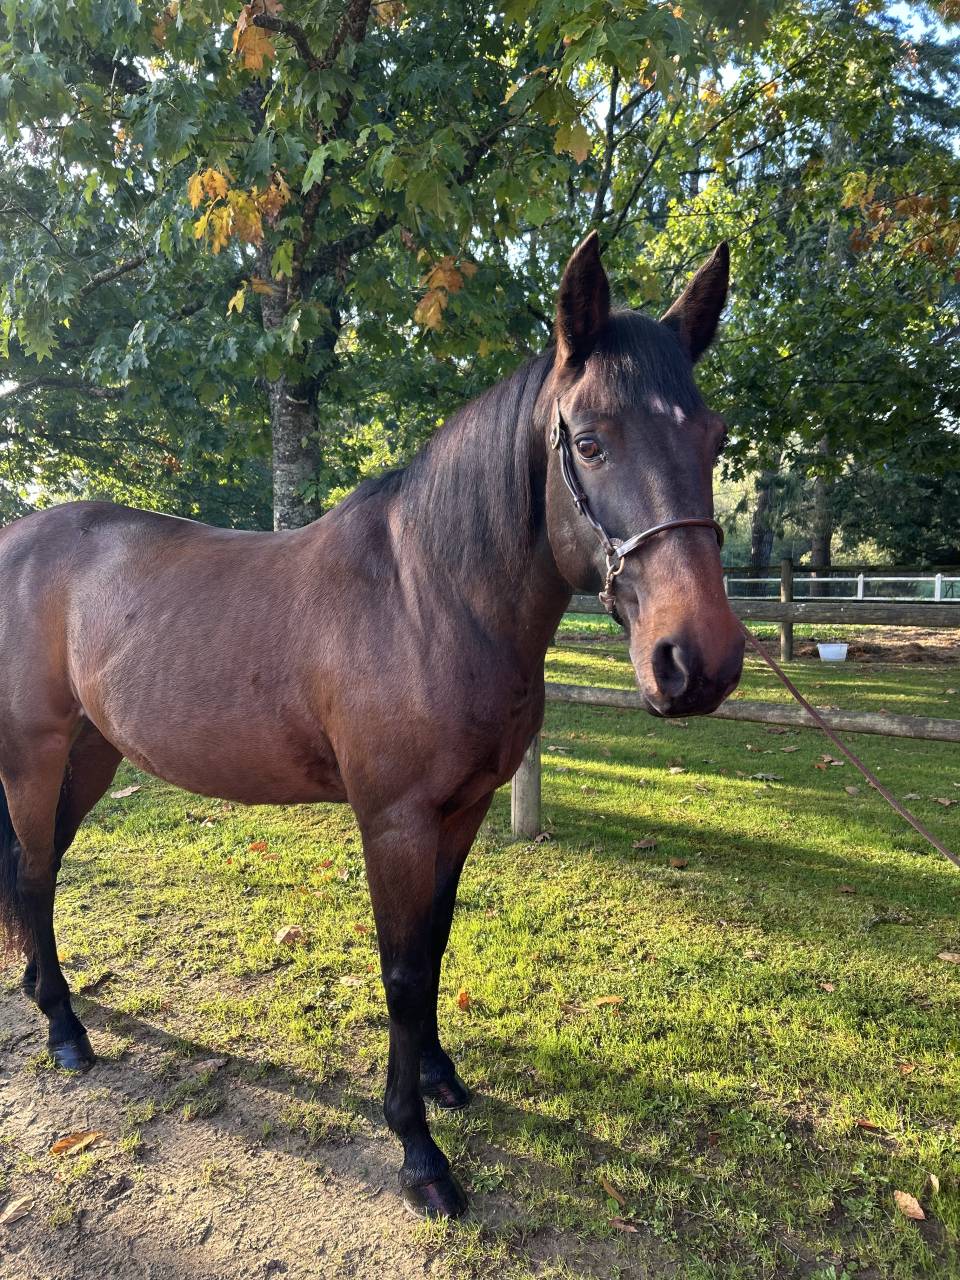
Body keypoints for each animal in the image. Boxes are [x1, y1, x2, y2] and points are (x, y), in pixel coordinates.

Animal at [0, 232, 743, 1219]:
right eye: (589, 441)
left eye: (714, 438)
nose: (698, 661)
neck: (428, 595)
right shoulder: (394, 822)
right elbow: (399, 969)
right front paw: (419, 1152)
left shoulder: (463, 811)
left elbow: (434, 944)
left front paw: (440, 1076)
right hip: (34, 756)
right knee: (34, 872)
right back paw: (65, 1031)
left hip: (90, 756)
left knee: (37, 873)